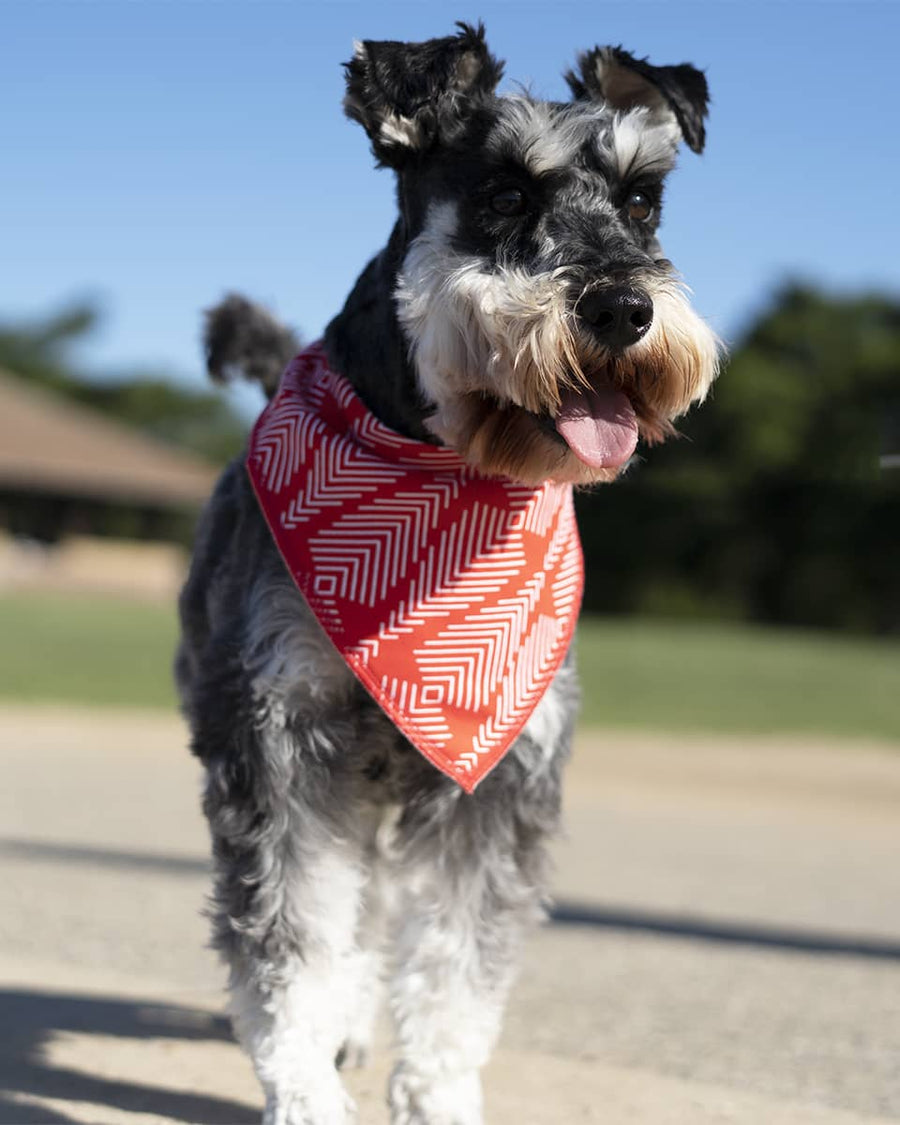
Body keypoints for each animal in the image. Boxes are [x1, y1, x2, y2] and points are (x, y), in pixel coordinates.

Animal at [178, 21, 720, 1120]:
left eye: (644, 200)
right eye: (504, 195)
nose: (623, 307)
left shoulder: (501, 773)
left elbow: (459, 966)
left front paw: (436, 1092)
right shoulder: (280, 746)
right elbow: (292, 938)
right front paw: (301, 1085)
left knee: (376, 909)